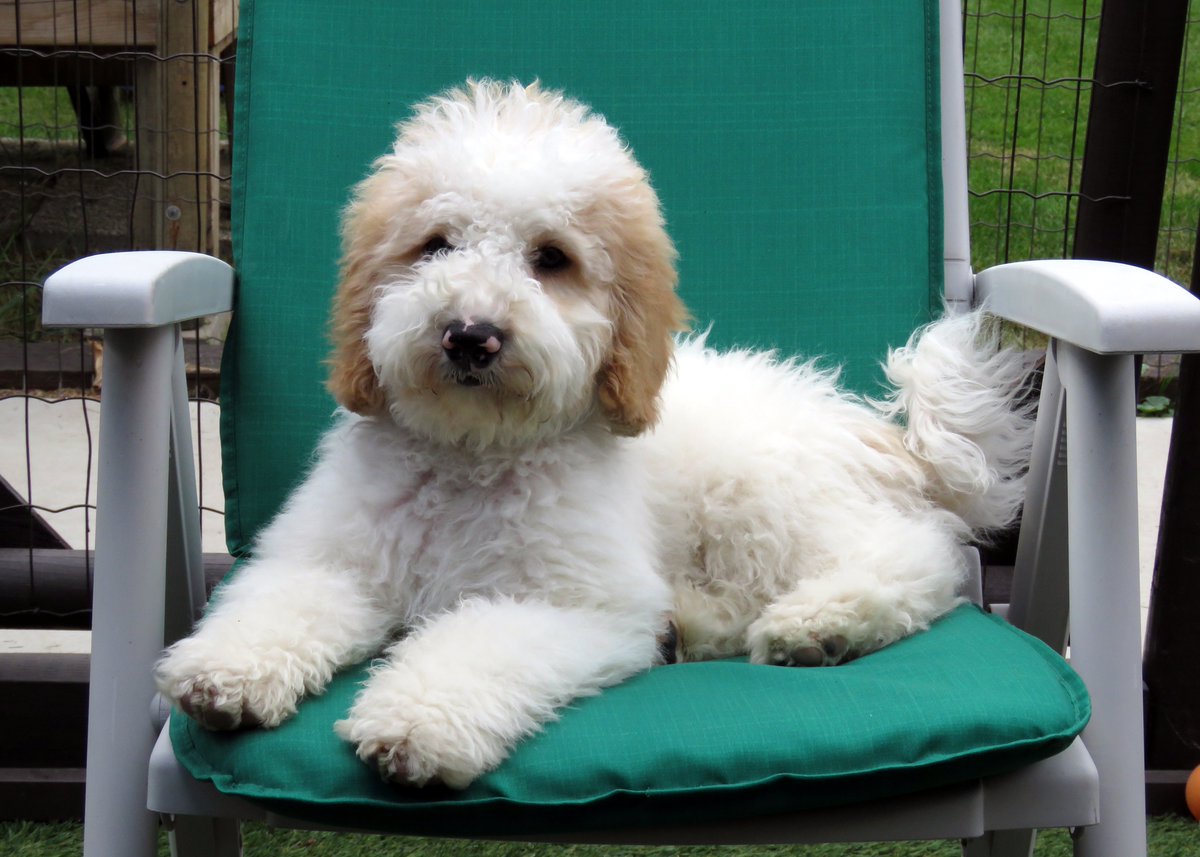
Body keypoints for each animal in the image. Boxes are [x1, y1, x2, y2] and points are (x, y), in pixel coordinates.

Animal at [154, 80, 1036, 787]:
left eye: (551, 259)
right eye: (435, 243)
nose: (470, 334)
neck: (471, 457)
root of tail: (872, 432)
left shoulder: (573, 603)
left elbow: (478, 642)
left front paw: (416, 721)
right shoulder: (333, 559)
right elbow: (284, 601)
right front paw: (224, 670)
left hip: (764, 498)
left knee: (916, 556)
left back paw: (820, 624)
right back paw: (697, 623)